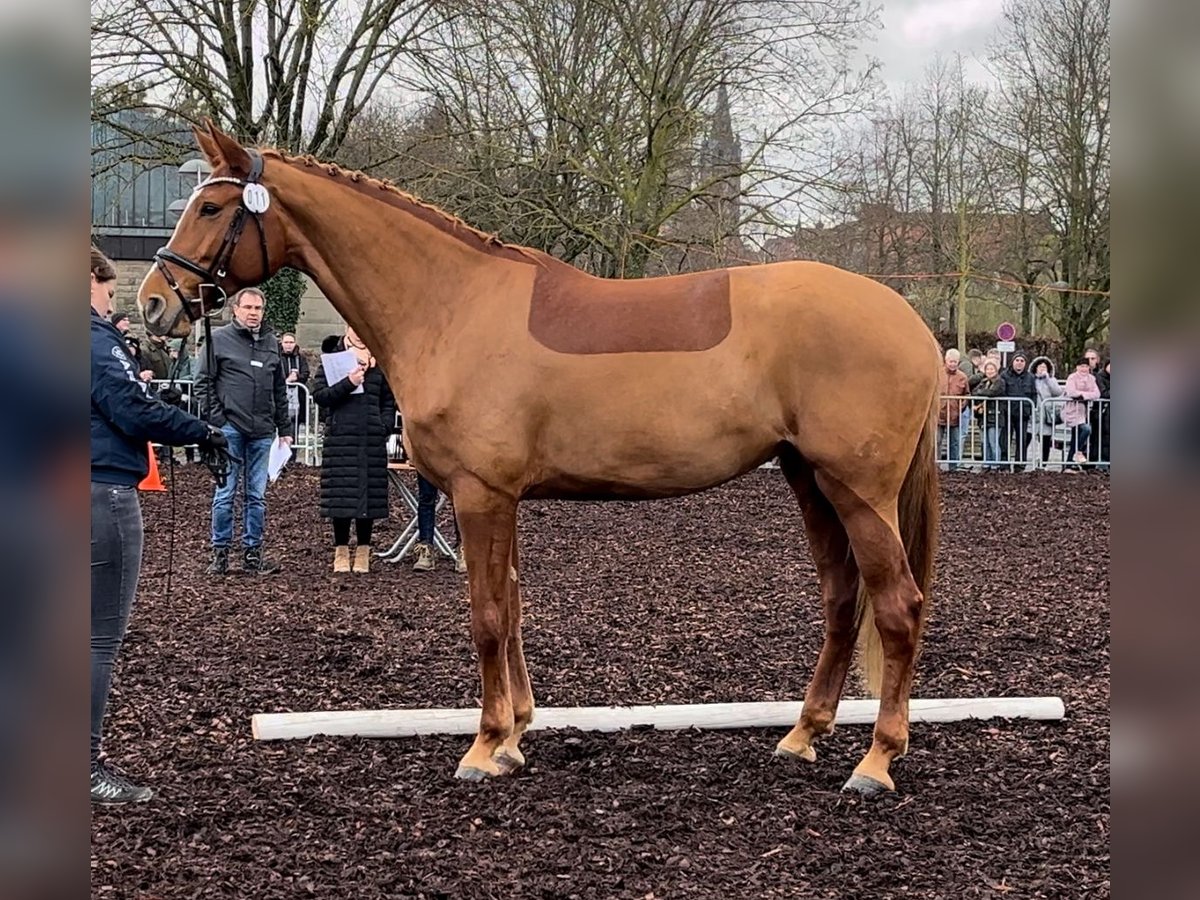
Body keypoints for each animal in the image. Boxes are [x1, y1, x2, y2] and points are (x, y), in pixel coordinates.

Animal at [140, 121, 940, 796]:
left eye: (212, 207)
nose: (153, 303)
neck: (452, 304)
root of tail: (910, 322)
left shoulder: (479, 494)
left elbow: (490, 615)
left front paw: (484, 745)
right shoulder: (500, 499)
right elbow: (516, 605)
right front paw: (516, 735)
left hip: (857, 491)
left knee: (897, 606)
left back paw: (877, 762)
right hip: (811, 482)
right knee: (842, 599)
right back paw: (803, 735)